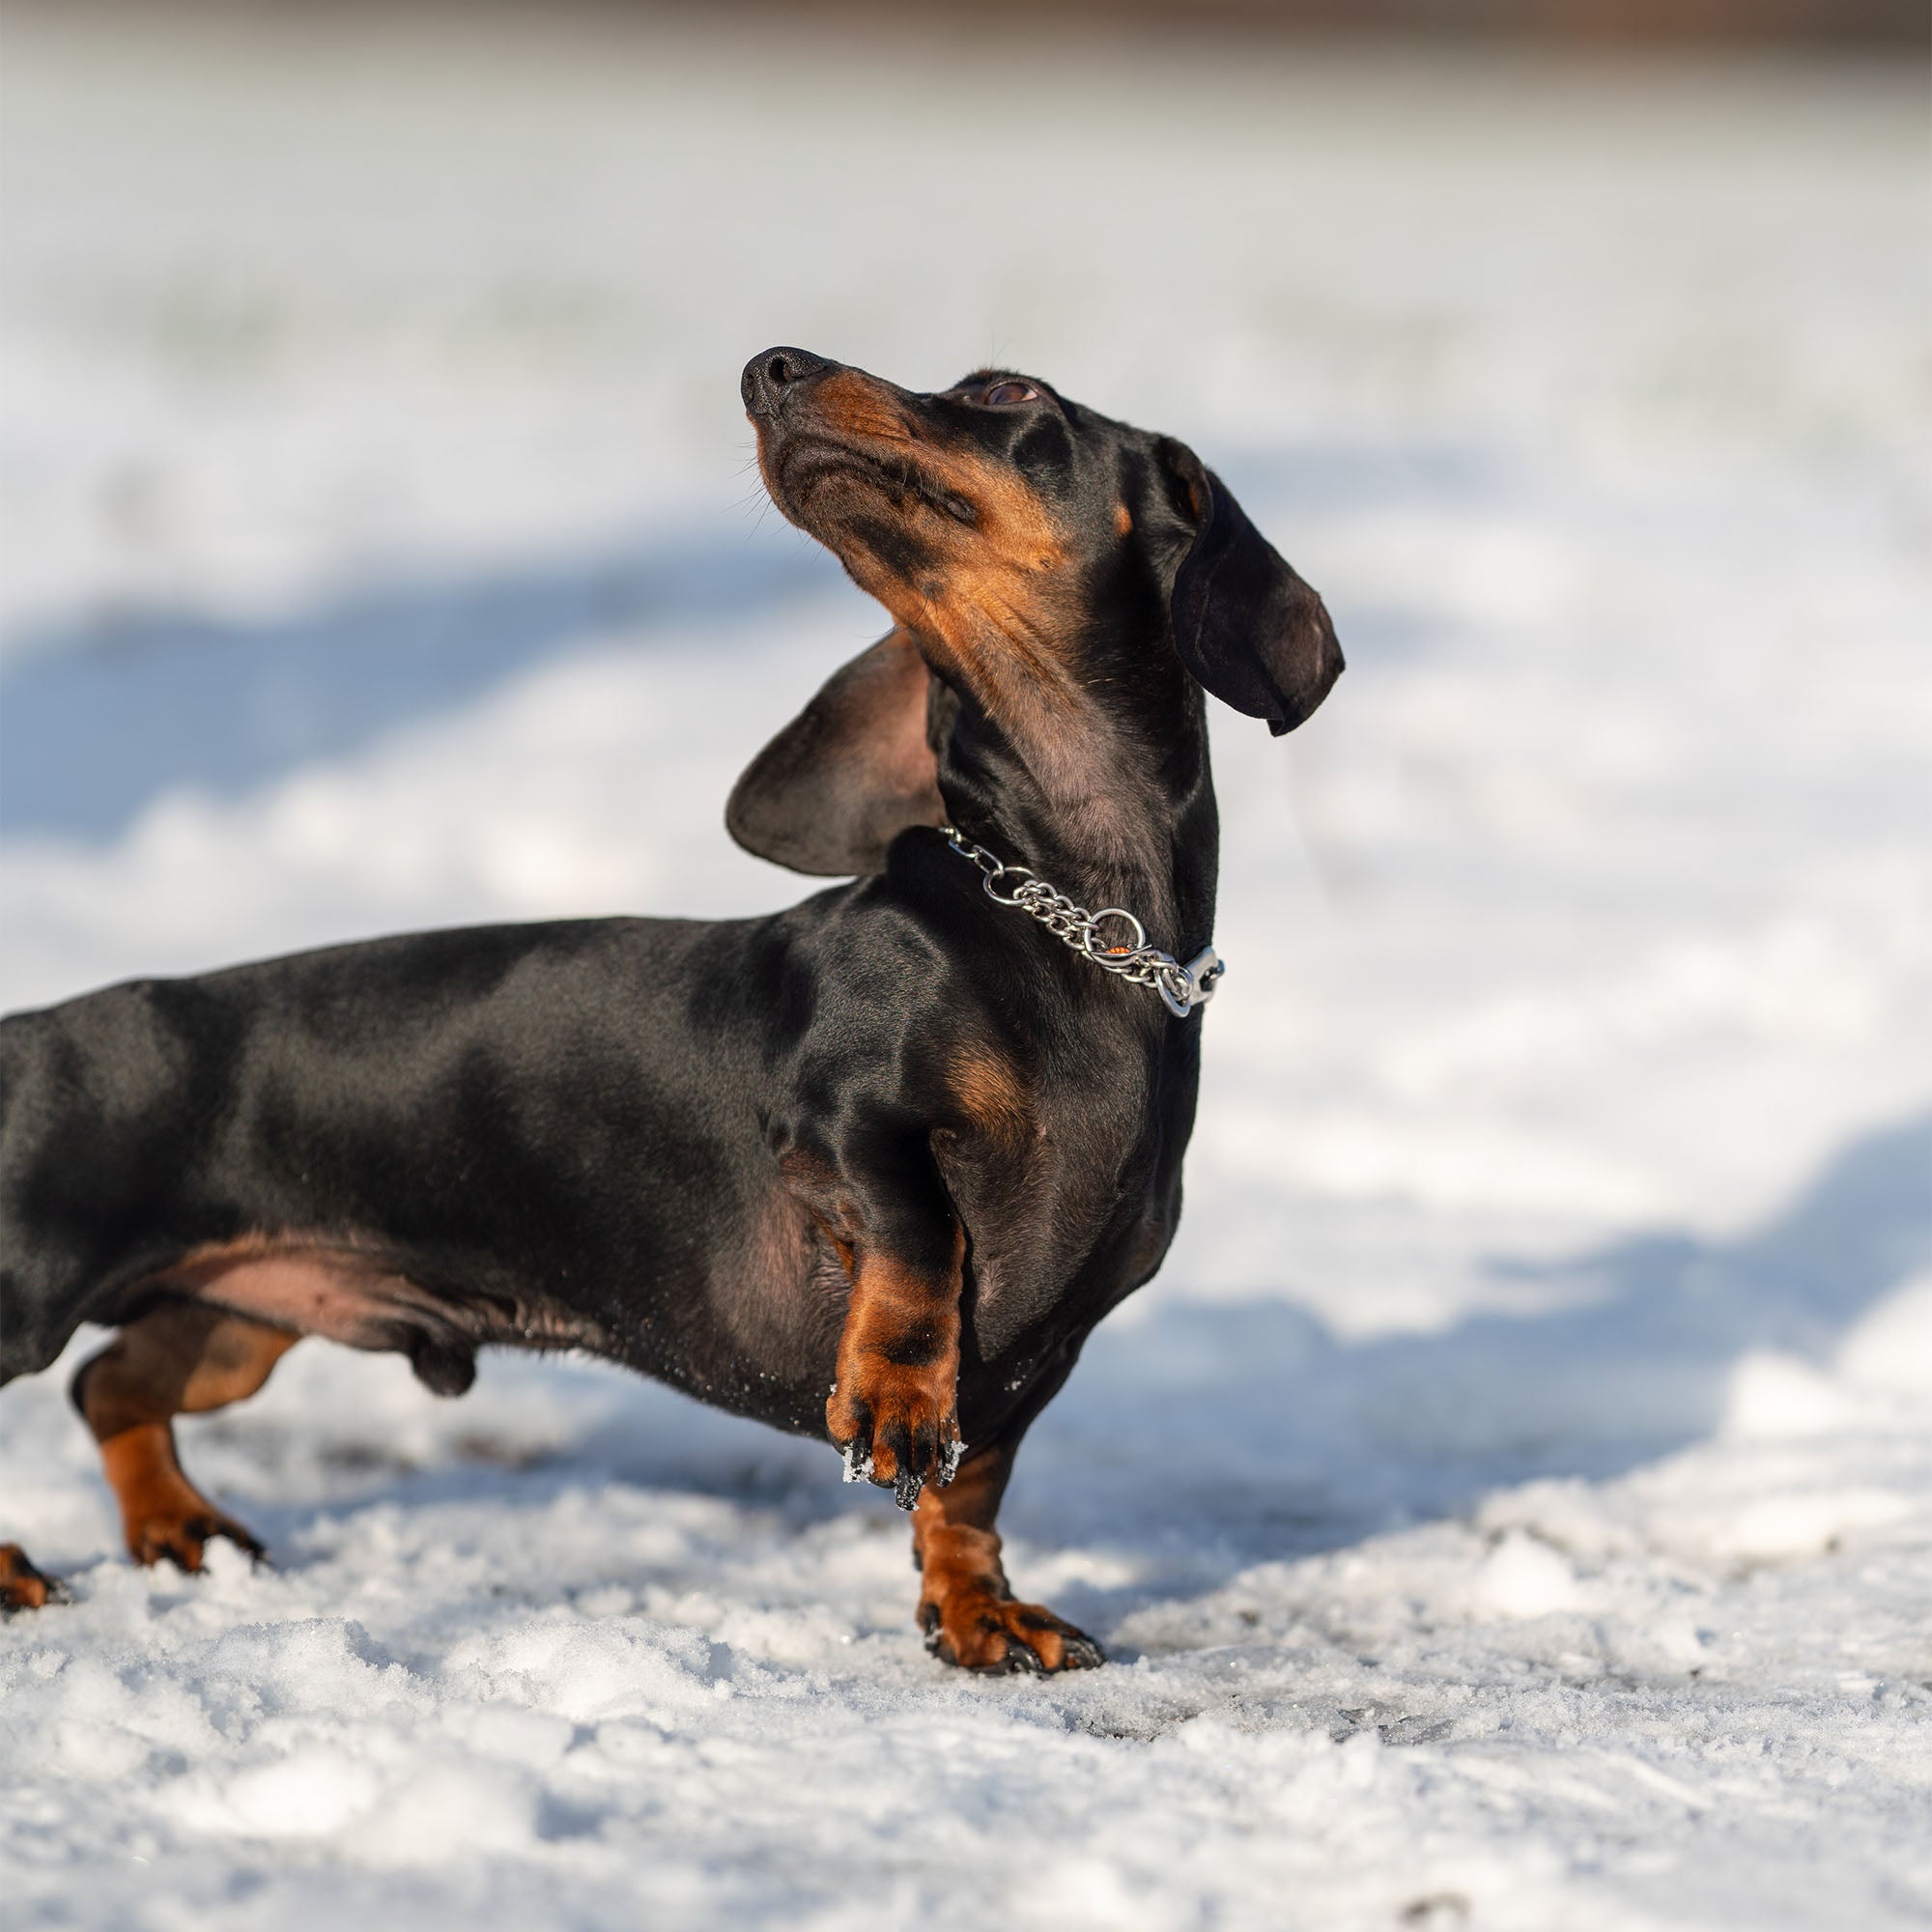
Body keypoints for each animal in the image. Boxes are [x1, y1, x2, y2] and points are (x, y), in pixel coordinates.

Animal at [0, 352, 1345, 1677]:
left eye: (1010, 394)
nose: (770, 367)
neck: (1069, 923)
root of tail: (33, 1029)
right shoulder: (843, 1123)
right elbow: (918, 1243)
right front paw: (893, 1397)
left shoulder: (1037, 1353)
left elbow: (969, 1485)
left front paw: (975, 1610)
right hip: (35, 1289)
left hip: (235, 1316)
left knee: (112, 1388)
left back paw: (179, 1525)